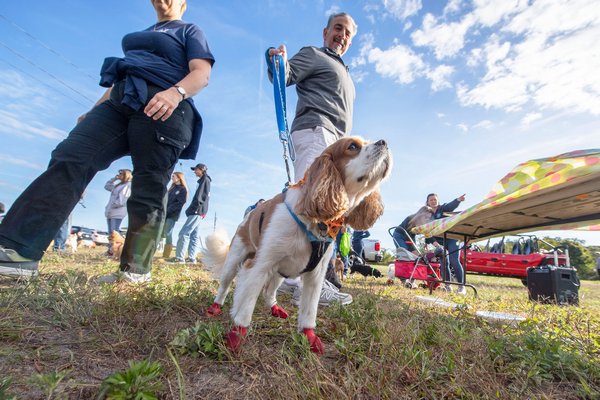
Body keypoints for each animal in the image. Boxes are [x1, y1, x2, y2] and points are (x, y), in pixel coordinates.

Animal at [204, 137, 392, 354]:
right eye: (352, 146)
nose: (384, 142)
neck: (316, 221)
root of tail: (249, 215)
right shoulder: (258, 267)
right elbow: (245, 307)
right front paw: (236, 335)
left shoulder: (315, 276)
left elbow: (309, 312)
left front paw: (309, 337)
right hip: (235, 262)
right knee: (224, 287)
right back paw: (215, 307)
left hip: (279, 273)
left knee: (269, 292)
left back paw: (275, 308)